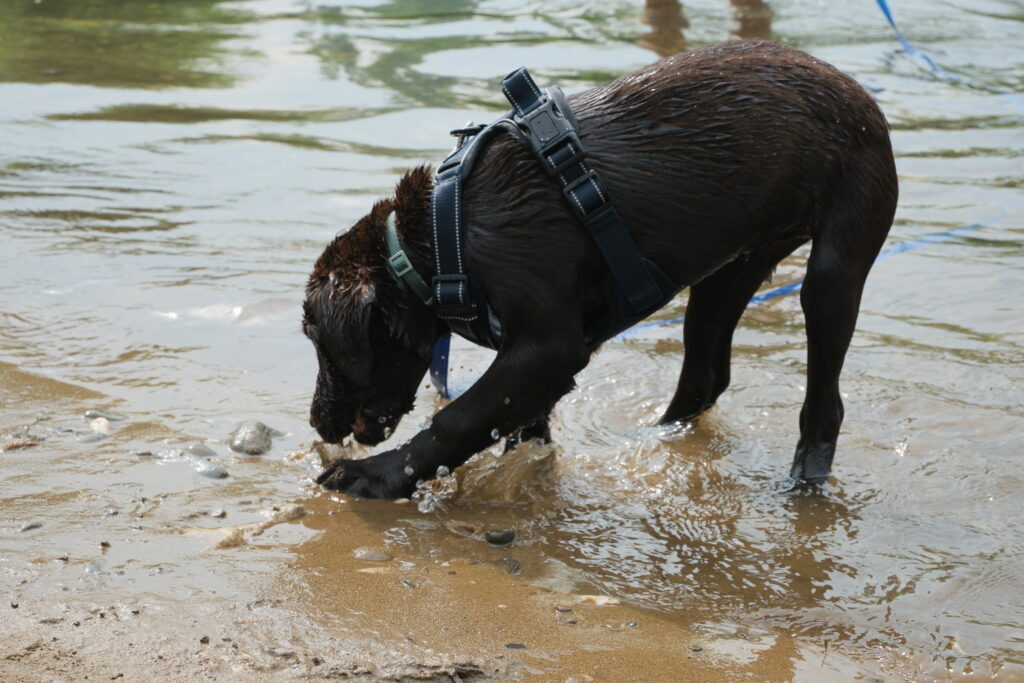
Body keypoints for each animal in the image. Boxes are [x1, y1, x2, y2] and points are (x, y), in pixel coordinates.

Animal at [303, 40, 898, 499]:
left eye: (319, 342)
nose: (315, 421)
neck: (440, 236)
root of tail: (862, 96)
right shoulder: (542, 358)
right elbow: (515, 423)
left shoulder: (548, 345)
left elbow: (460, 418)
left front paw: (374, 476)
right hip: (726, 272)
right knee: (704, 378)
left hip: (833, 269)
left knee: (824, 404)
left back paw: (804, 487)